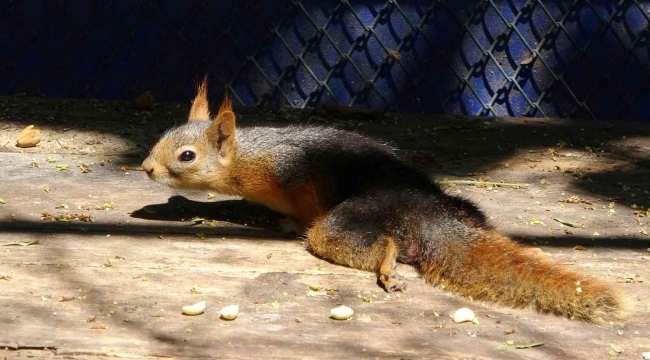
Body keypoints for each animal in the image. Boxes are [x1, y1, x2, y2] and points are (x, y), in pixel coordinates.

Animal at [143, 79, 624, 324]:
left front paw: (286, 222)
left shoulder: (295, 173)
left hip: (348, 220)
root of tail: (425, 209)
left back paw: (387, 266)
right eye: (163, 136)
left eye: (187, 156)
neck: (250, 159)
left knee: (374, 240)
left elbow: (302, 204)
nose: (146, 168)